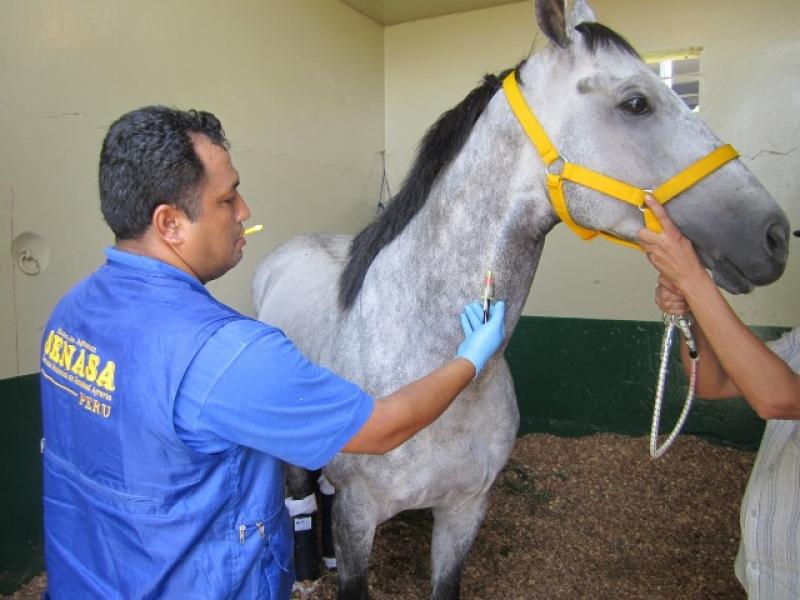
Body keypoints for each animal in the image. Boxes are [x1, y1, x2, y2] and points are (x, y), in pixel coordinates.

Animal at [253, 2, 792, 596]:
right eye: (636, 102)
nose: (774, 236)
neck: (430, 361)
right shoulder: (358, 517)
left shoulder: (464, 511)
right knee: (302, 498)